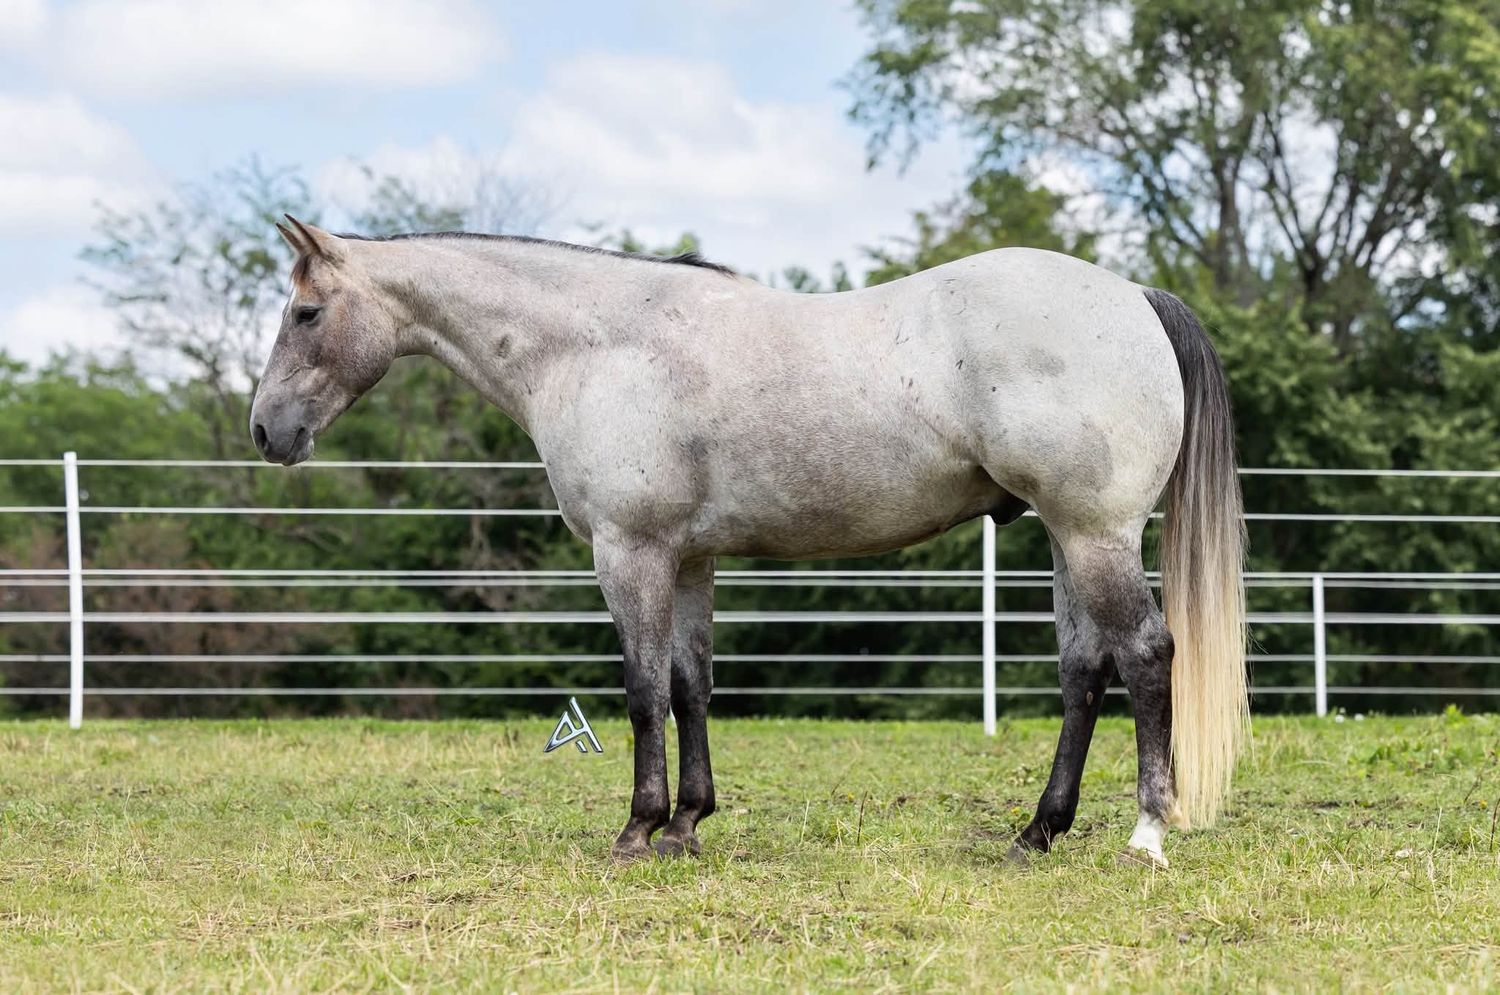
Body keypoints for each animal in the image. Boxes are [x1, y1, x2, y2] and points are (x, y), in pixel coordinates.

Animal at [250, 216, 1248, 869]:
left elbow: (643, 692)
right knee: (1085, 672)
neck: (596, 344)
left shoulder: (630, 553)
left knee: (1146, 653)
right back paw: (1037, 831)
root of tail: (1133, 297)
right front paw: (689, 823)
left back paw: (1148, 831)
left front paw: (638, 828)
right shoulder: (689, 559)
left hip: (1094, 533)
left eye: (305, 314)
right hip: (1069, 537)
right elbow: (693, 687)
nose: (266, 430)